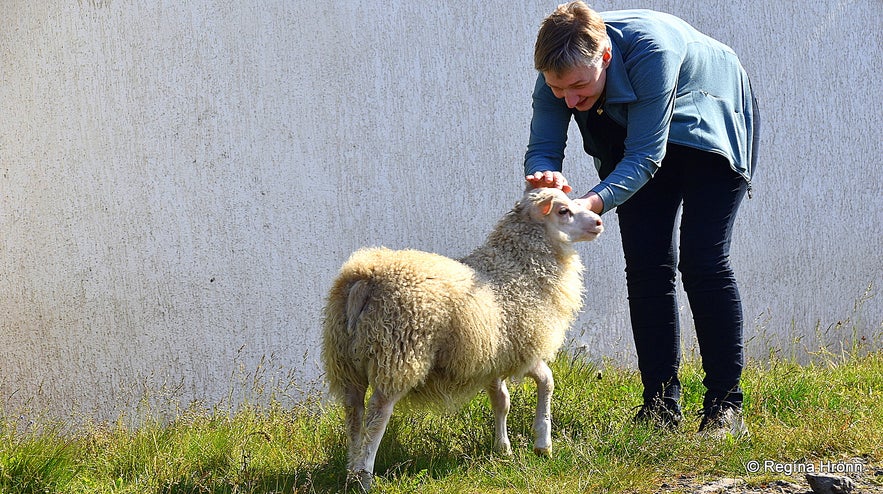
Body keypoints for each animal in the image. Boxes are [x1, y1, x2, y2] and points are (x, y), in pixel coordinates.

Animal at [322, 186, 604, 490]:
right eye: (563, 211)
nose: (599, 222)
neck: (519, 268)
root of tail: (364, 278)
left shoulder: (493, 357)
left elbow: (501, 401)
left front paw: (502, 449)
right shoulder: (524, 349)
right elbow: (547, 381)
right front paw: (542, 443)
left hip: (346, 359)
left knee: (353, 412)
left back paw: (351, 467)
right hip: (397, 353)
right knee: (377, 414)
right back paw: (364, 476)